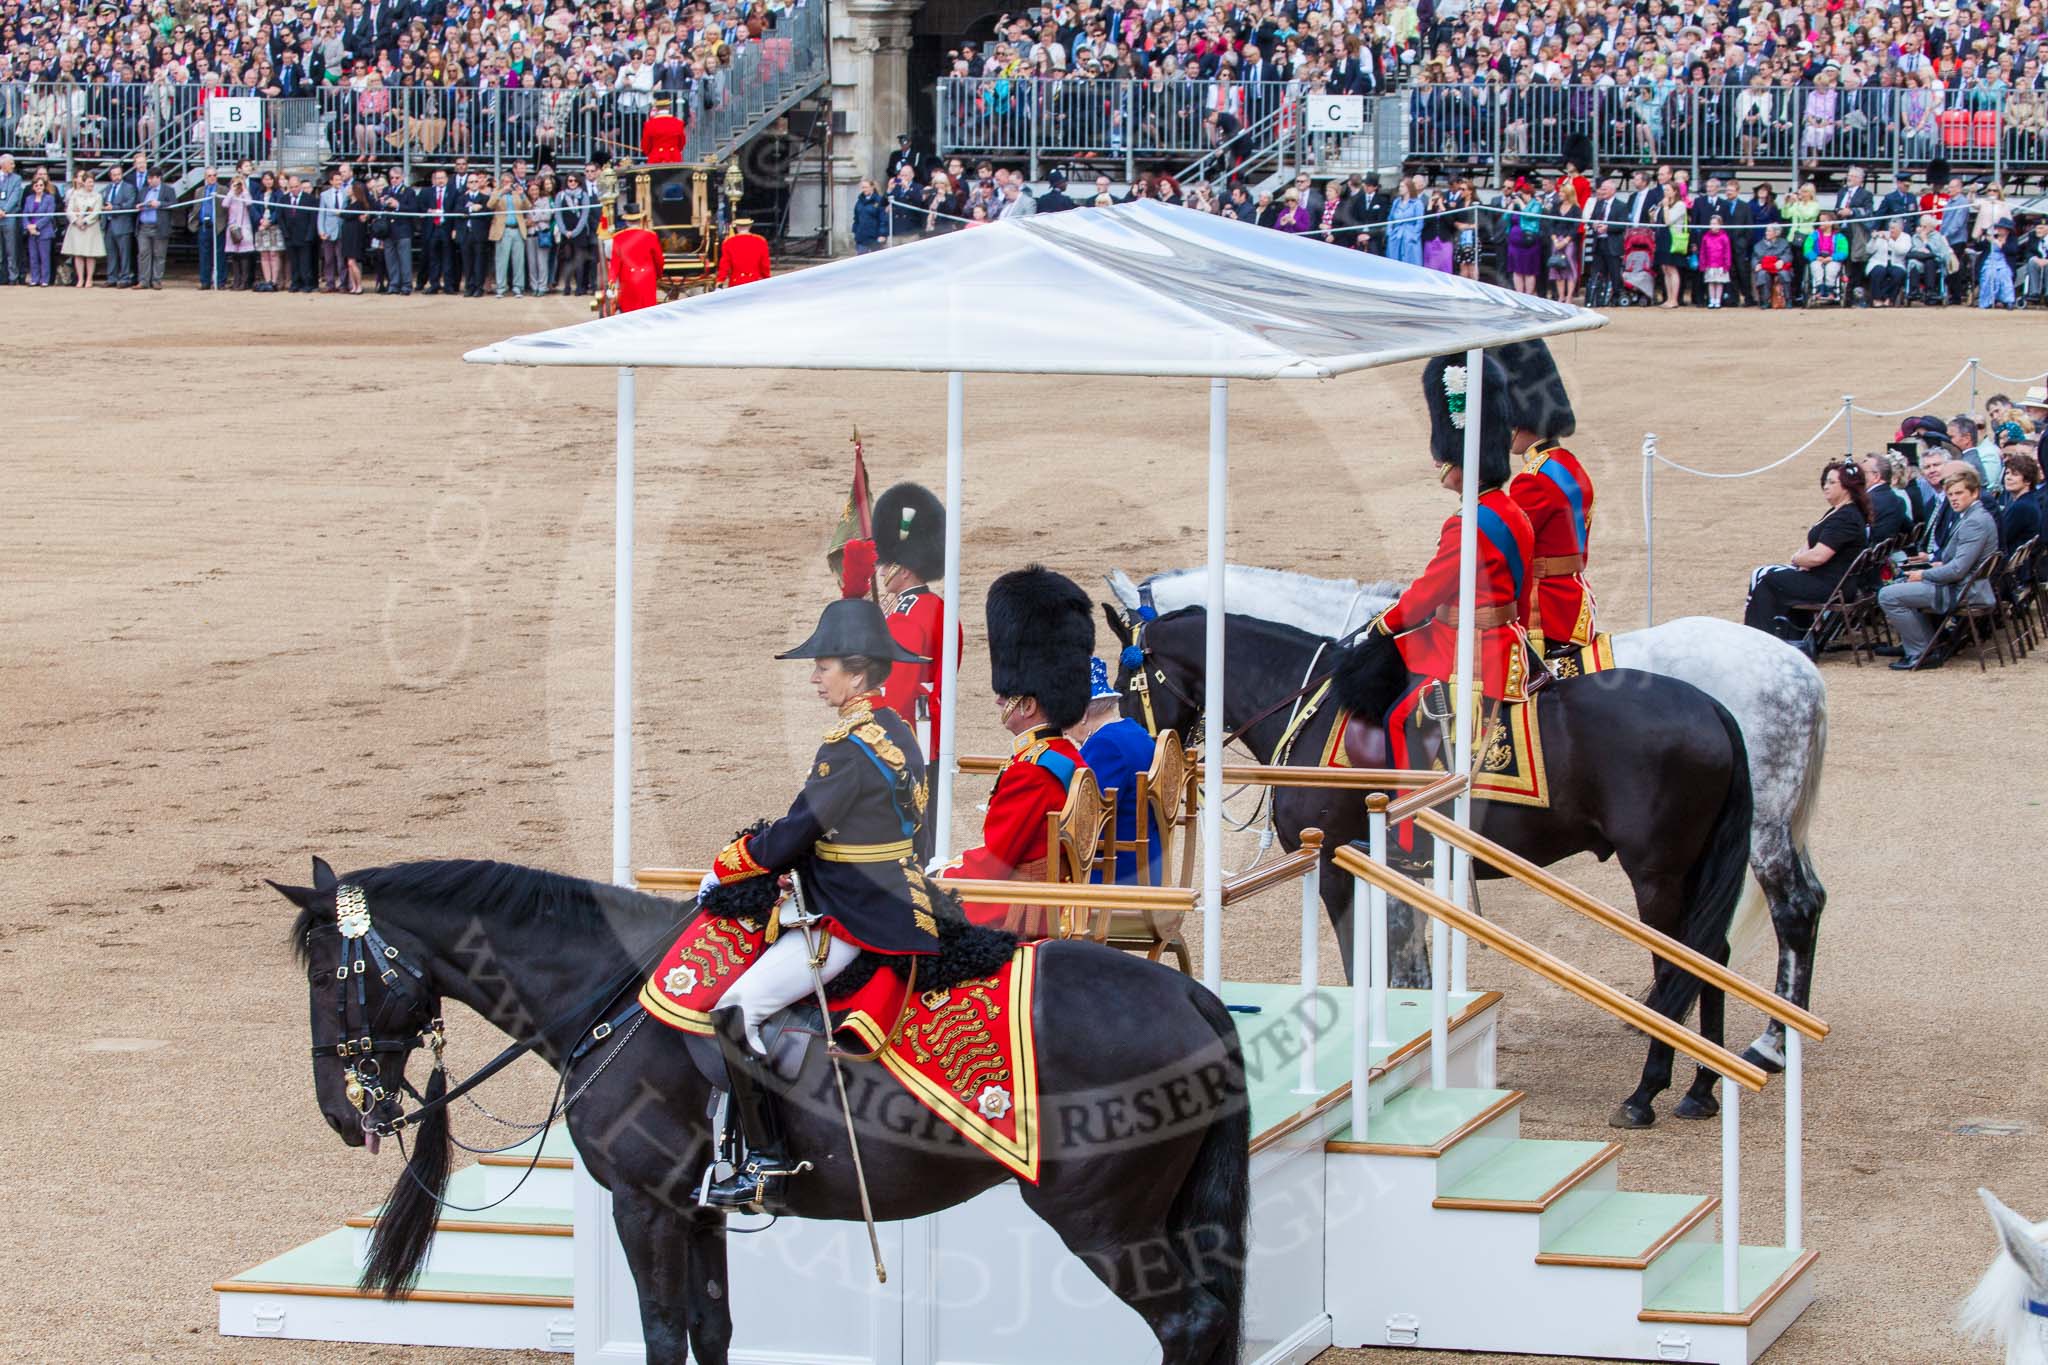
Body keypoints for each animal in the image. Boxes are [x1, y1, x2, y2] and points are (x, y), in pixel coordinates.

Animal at [276, 859, 1245, 1358]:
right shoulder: (700, 1211)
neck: (608, 990)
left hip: (1103, 1221)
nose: (339, 1110)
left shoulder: (645, 1208)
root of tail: (1188, 995)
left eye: (328, 976)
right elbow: (713, 1329)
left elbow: (663, 1334)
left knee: (1188, 1323)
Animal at [1114, 609, 1753, 1129]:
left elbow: (1362, 964)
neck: (1310, 710)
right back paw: (1701, 1089)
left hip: (1656, 874)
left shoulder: (1335, 865)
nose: (1141, 756)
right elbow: (1404, 966)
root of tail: (1713, 707)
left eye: (1124, 686)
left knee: (1680, 964)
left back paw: (1646, 1092)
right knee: (1713, 955)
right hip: (1688, 870)